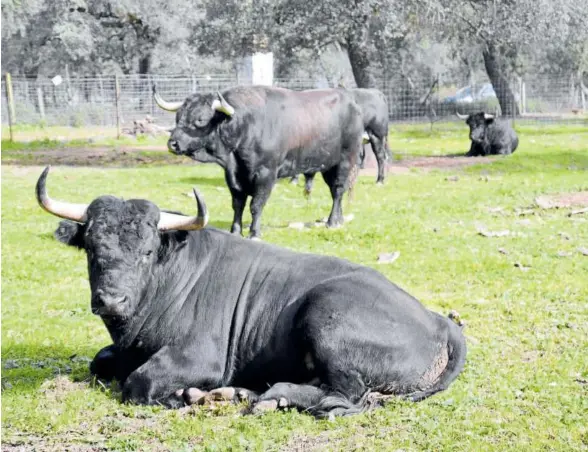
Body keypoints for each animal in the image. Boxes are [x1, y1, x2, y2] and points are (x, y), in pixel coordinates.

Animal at [36, 168, 468, 418]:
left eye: (146, 251)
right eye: (92, 247)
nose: (110, 299)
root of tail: (439, 321)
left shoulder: (198, 356)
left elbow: (138, 383)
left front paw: (184, 397)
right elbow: (100, 362)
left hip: (325, 315)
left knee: (346, 394)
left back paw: (271, 397)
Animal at [152, 85, 362, 240]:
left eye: (200, 119)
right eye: (178, 117)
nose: (172, 143)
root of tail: (351, 102)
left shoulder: (265, 174)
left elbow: (256, 205)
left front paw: (254, 233)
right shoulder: (233, 176)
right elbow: (238, 203)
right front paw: (235, 230)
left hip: (344, 161)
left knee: (338, 191)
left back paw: (332, 221)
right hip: (328, 166)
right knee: (337, 191)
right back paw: (340, 219)